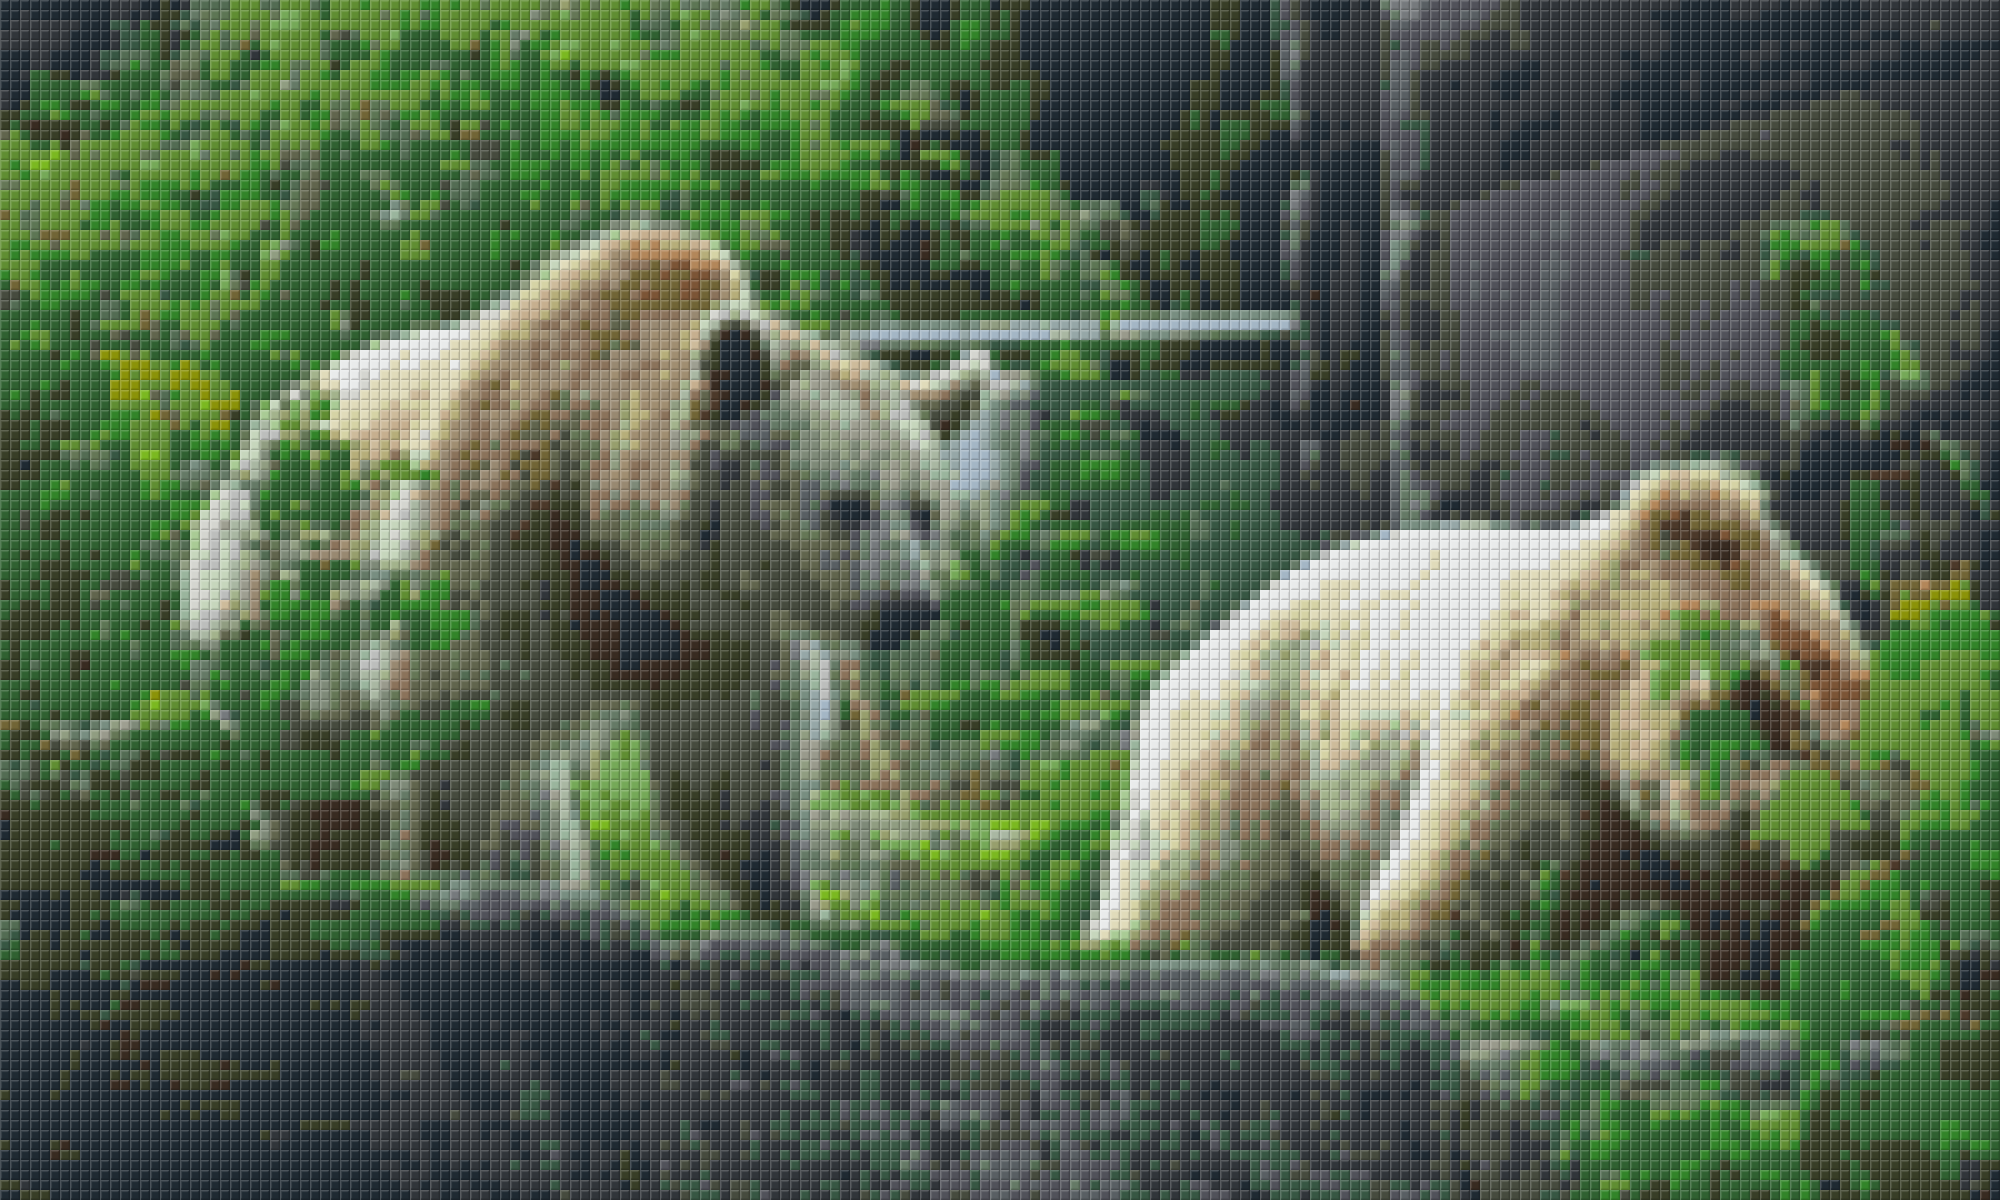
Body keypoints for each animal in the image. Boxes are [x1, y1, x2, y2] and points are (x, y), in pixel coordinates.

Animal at [179, 221, 1037, 924]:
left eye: (923, 509)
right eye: (846, 503)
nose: (910, 606)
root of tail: (261, 423)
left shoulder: (718, 628)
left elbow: (732, 773)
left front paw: (801, 907)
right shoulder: (507, 528)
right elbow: (456, 721)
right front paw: (453, 875)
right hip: (267, 599)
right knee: (305, 774)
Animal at [1082, 462, 1908, 978]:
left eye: (1789, 733)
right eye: (1740, 717)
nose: (1744, 812)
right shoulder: (1539, 706)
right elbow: (1459, 882)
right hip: (1259, 746)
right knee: (1209, 893)